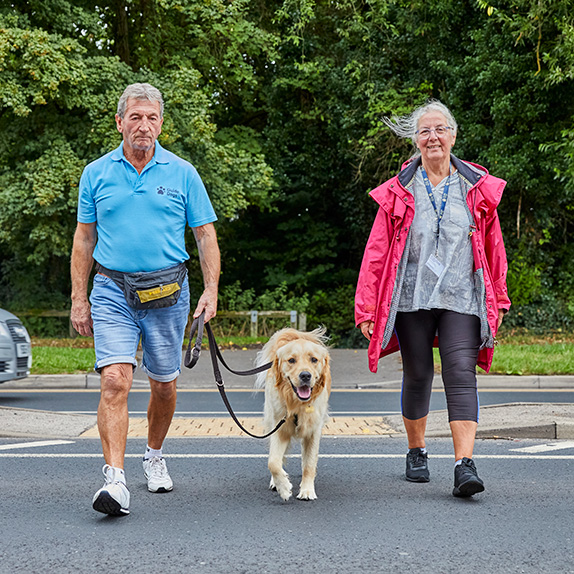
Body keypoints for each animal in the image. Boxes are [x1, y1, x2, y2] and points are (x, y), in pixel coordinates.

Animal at [256, 328, 332, 504]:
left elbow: (309, 464)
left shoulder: (313, 432)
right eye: (291, 360)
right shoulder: (279, 429)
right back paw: (276, 482)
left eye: (314, 359)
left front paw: (307, 490)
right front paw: (283, 487)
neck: (298, 404)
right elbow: (273, 462)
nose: (305, 376)